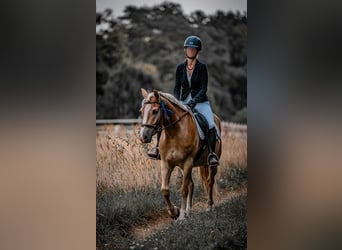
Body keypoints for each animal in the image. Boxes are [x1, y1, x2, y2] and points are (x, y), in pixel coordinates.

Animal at [139, 88, 222, 221]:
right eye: (141, 111)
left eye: (155, 111)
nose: (143, 136)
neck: (174, 133)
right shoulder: (166, 163)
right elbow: (165, 189)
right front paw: (174, 212)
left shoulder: (188, 162)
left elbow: (183, 189)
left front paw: (181, 216)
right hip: (184, 167)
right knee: (191, 185)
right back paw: (188, 210)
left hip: (210, 164)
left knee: (210, 181)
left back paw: (209, 206)